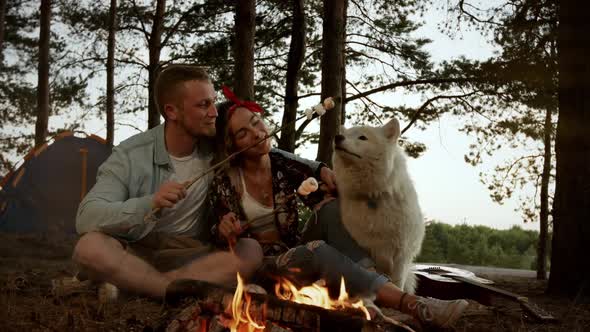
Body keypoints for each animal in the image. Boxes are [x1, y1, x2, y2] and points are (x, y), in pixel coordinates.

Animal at [332, 117, 426, 294]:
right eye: (346, 134)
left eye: (363, 137)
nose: (337, 137)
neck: (374, 195)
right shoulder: (365, 249)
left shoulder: (401, 255)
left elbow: (397, 283)